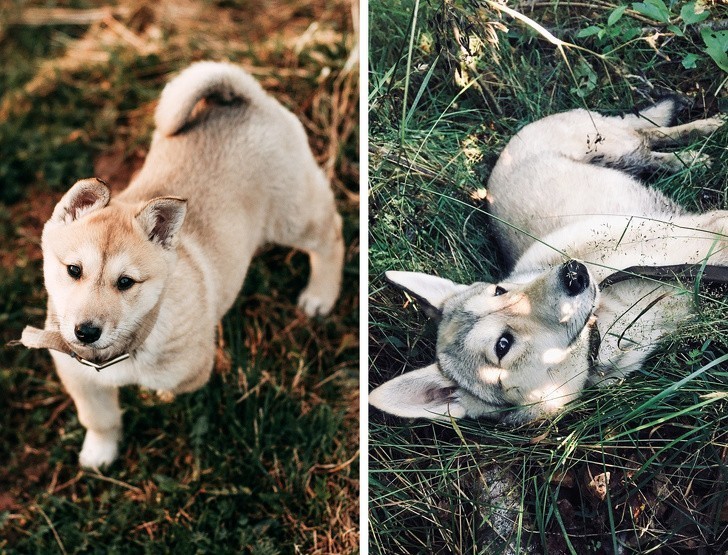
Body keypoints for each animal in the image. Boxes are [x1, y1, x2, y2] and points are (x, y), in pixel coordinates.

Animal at [20, 62, 344, 470]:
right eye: (74, 271)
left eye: (126, 282)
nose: (85, 332)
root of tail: (245, 98)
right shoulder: (79, 378)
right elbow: (99, 419)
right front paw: (100, 454)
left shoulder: (193, 369)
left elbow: (171, 386)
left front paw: (158, 398)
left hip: (293, 215)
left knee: (332, 235)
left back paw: (320, 295)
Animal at [372, 97, 724, 424]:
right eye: (503, 345)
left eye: (500, 290)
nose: (574, 273)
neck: (604, 326)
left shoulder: (701, 231)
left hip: (613, 145)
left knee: (649, 133)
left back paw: (702, 140)